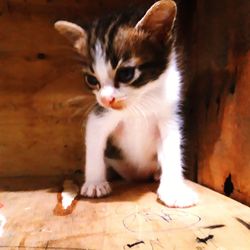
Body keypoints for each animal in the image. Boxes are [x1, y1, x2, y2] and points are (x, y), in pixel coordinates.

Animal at [54, 0, 197, 207]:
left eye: (126, 74)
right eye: (91, 79)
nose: (106, 99)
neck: (140, 102)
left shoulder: (169, 116)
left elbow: (172, 148)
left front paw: (174, 190)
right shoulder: (99, 116)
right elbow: (94, 146)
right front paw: (95, 183)